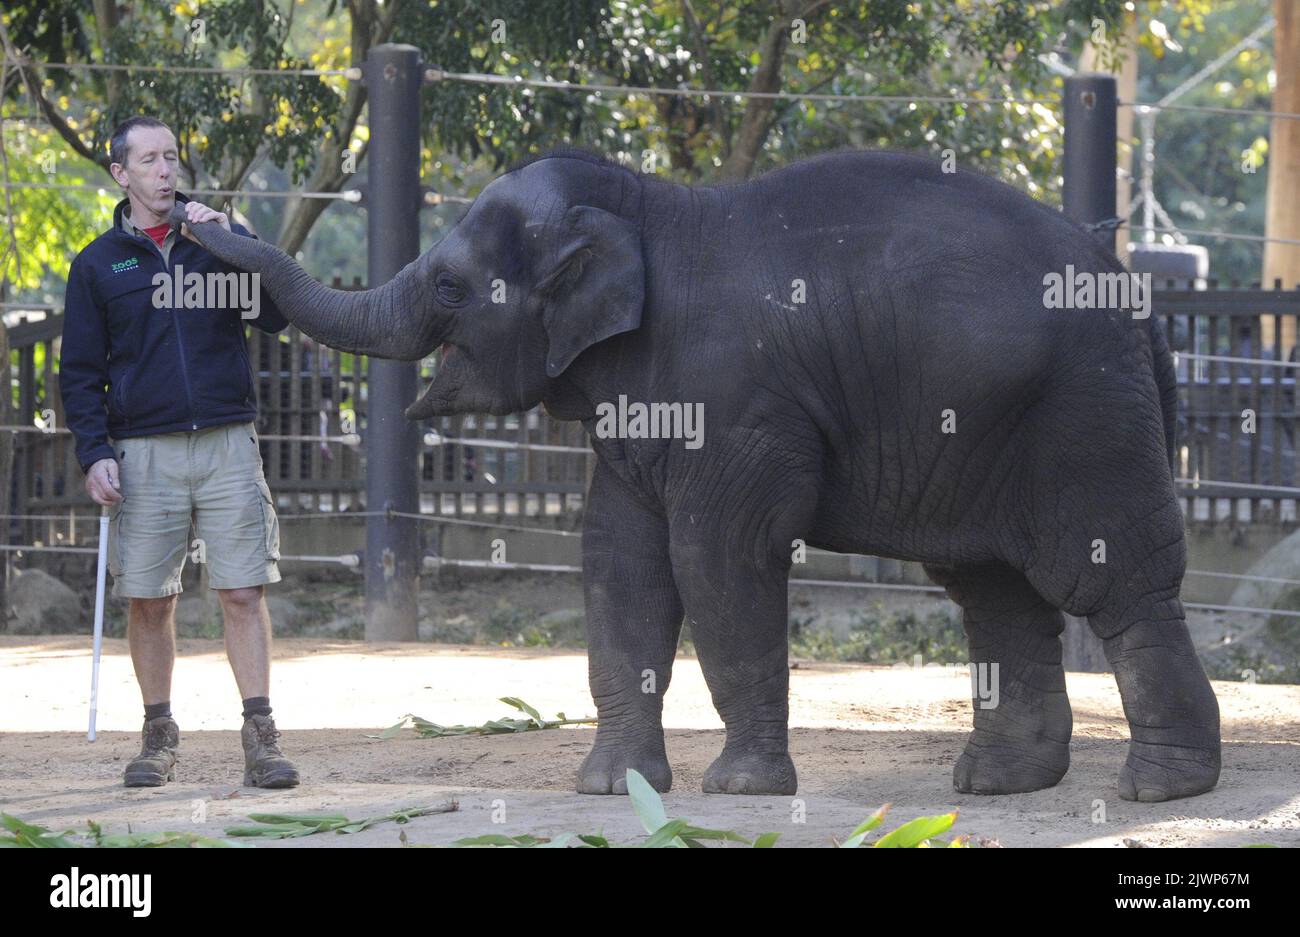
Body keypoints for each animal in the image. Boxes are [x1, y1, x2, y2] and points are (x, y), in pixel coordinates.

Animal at [176, 146, 1221, 802]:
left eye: (448, 286)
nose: (191, 211)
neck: (648, 204)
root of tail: (1136, 296)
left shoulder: (736, 401)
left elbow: (719, 555)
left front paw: (741, 789)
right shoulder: (641, 407)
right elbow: (619, 560)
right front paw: (615, 787)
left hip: (1083, 412)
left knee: (1111, 578)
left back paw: (1161, 789)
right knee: (994, 589)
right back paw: (1000, 784)